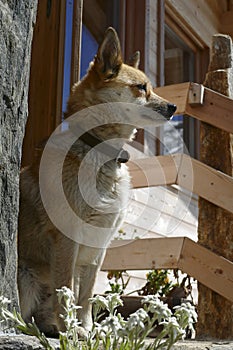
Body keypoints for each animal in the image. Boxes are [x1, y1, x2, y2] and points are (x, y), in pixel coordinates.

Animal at [18, 27, 176, 336]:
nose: (173, 106)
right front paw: (71, 329)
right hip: (26, 277)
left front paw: (87, 328)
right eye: (141, 87)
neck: (100, 151)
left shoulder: (98, 246)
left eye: (149, 86)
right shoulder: (67, 240)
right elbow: (66, 287)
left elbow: (86, 293)